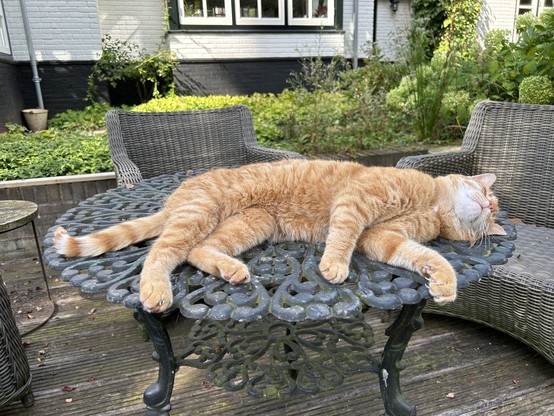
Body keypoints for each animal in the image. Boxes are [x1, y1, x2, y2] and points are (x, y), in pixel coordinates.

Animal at [52, 159, 504, 312]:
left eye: (491, 212)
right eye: (485, 194)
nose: (489, 210)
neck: (433, 206)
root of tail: (177, 196)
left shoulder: (383, 238)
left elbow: (426, 256)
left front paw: (443, 282)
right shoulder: (358, 199)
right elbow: (343, 235)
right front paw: (333, 265)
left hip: (249, 224)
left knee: (198, 251)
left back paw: (231, 271)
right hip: (200, 213)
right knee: (161, 253)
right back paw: (156, 291)